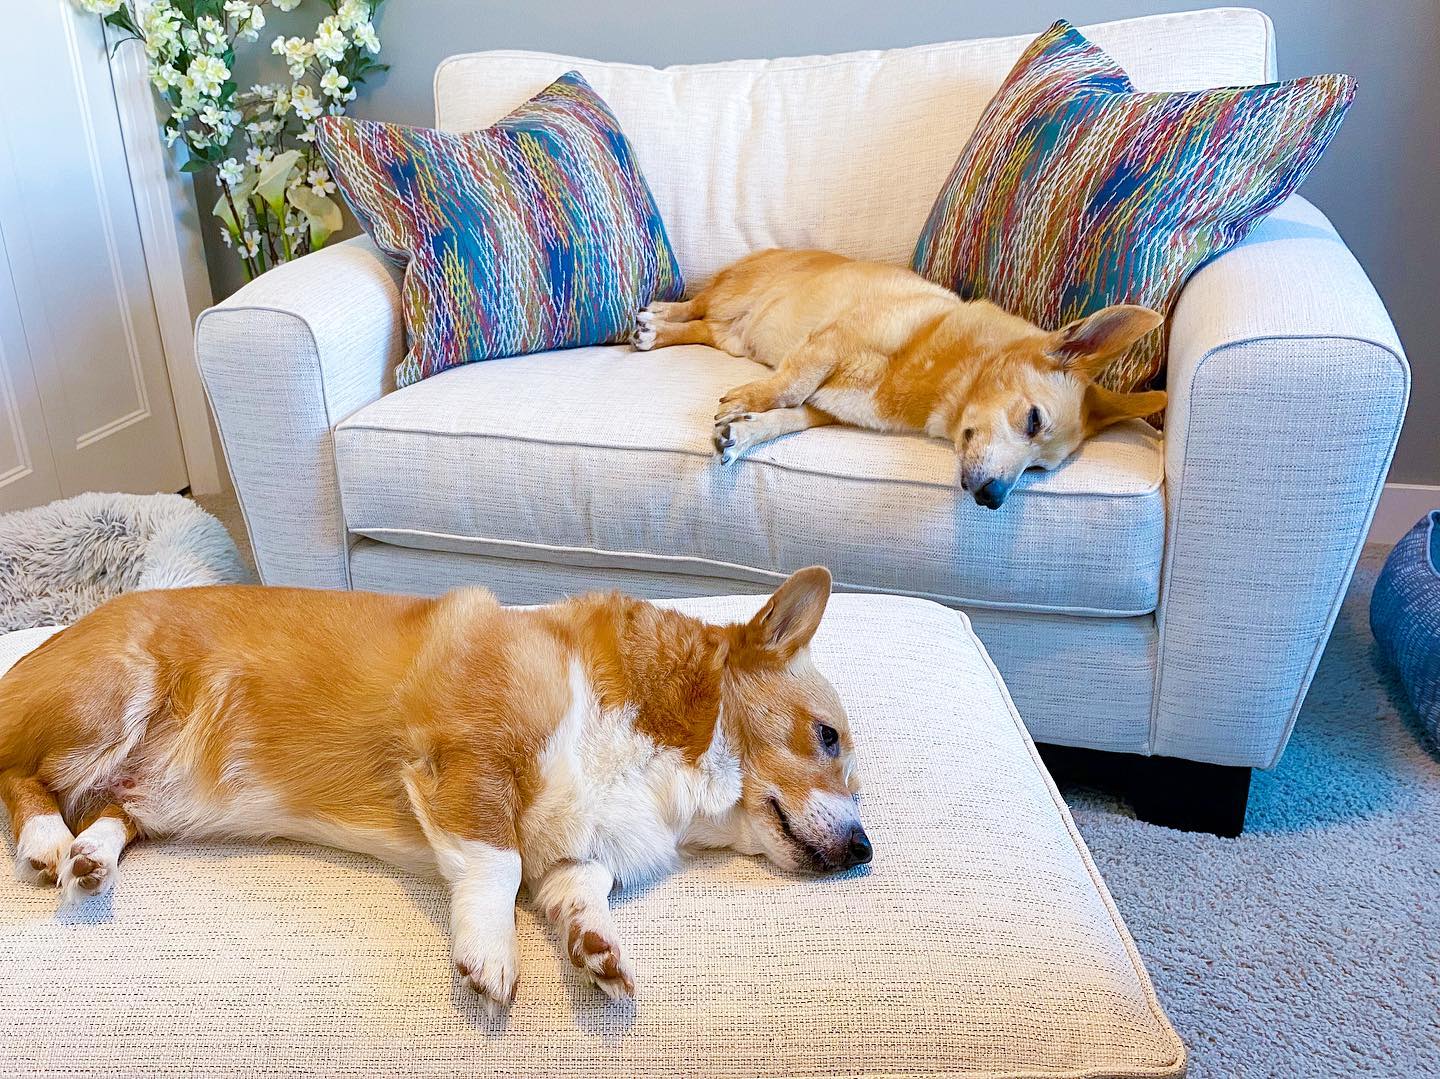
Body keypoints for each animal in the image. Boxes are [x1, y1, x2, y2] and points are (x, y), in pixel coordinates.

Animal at [0, 573, 858, 1008]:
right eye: (827, 736)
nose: (863, 850)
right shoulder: (465, 753)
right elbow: (498, 863)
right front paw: (489, 955)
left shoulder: (576, 853)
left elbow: (583, 890)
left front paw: (596, 948)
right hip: (112, 695)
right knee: (19, 772)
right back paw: (46, 839)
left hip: (153, 787)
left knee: (116, 809)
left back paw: (90, 858)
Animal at [633, 247, 1169, 509]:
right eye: (1033, 420)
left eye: (1038, 470)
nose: (994, 500)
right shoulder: (830, 342)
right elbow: (787, 385)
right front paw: (749, 397)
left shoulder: (822, 409)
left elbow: (786, 415)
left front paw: (741, 433)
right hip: (733, 295)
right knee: (695, 307)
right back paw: (654, 318)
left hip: (733, 335)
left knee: (703, 329)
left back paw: (658, 333)